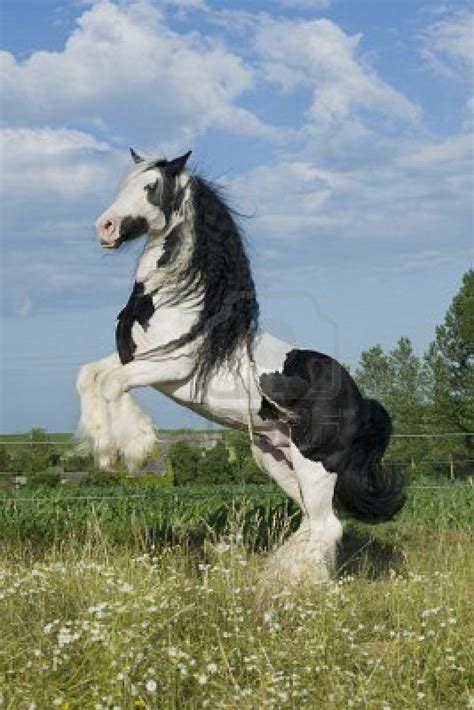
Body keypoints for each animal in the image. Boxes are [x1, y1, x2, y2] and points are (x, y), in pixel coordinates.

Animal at [76, 149, 406, 584]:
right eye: (123, 184)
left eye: (150, 186)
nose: (105, 226)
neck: (178, 302)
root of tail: (362, 401)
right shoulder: (135, 356)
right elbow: (89, 376)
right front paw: (102, 451)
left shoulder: (171, 367)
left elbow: (113, 384)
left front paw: (134, 451)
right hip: (274, 458)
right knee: (313, 522)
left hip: (315, 465)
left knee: (327, 526)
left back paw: (300, 586)